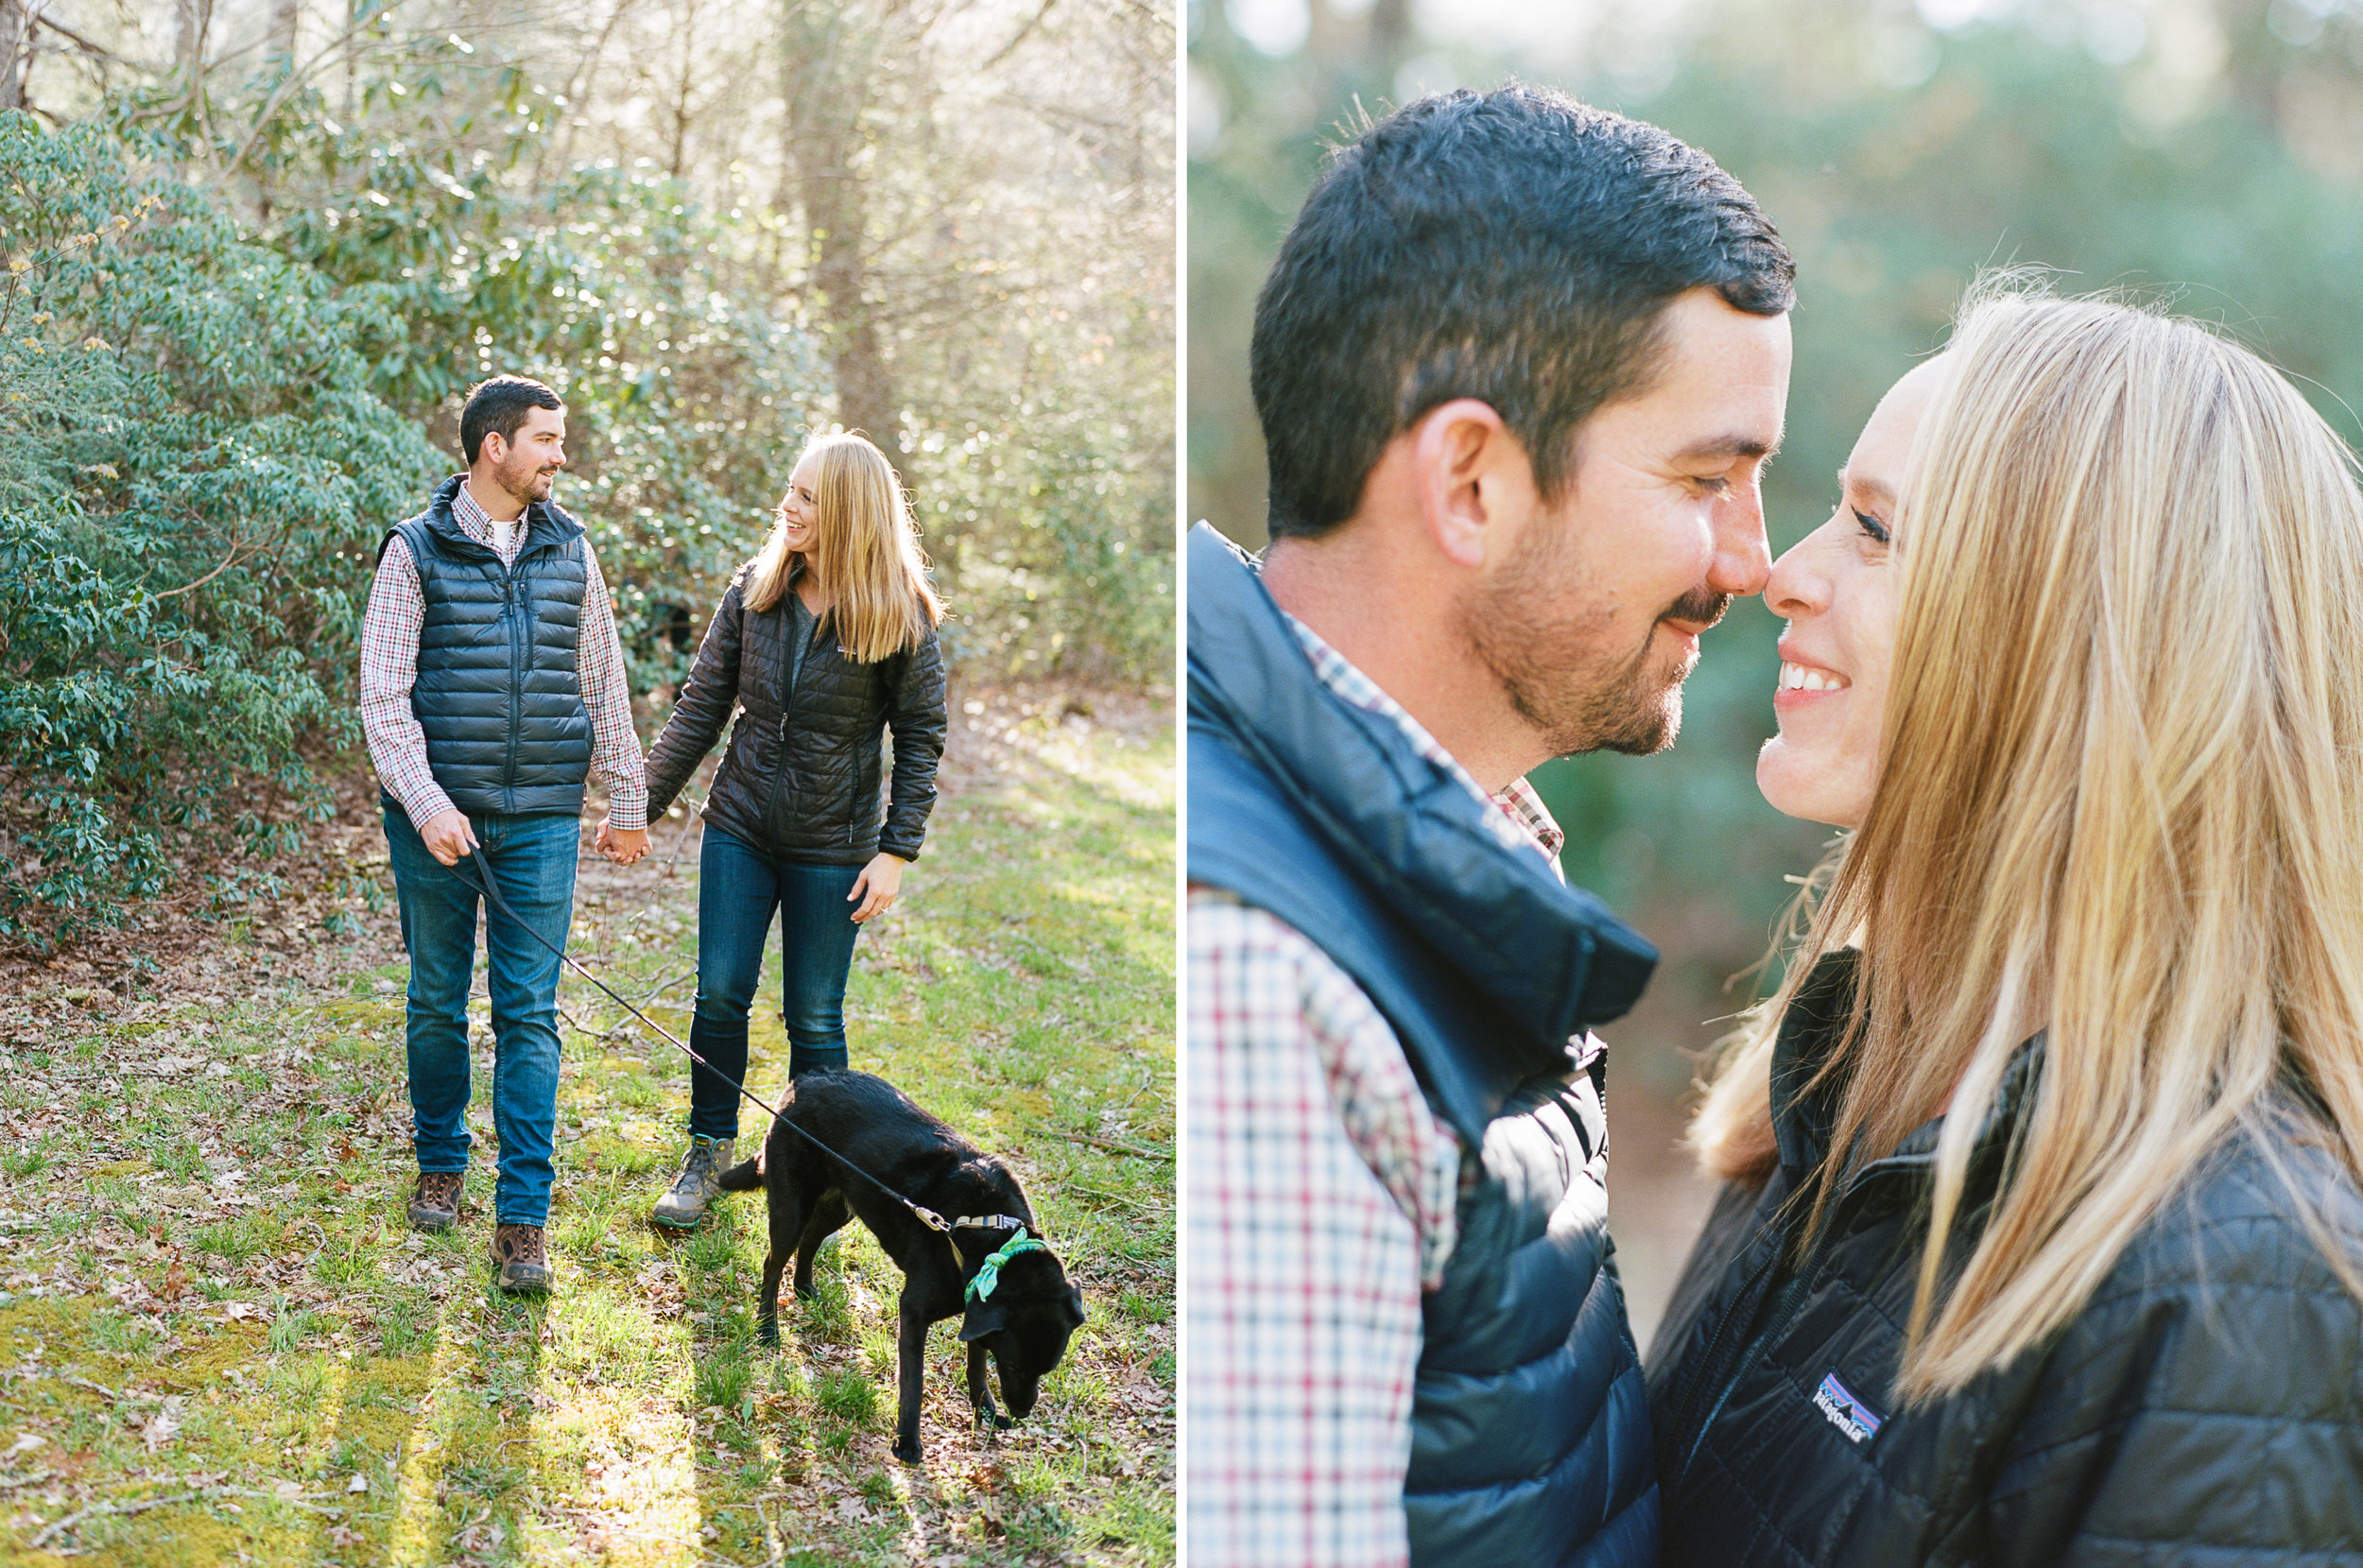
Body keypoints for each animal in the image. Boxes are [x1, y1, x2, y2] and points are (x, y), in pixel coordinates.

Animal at [718, 1072, 1087, 1464]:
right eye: (1017, 1367)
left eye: (1048, 1369)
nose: (1022, 1412)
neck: (994, 1237)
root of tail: (806, 1079)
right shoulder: (913, 1311)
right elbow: (913, 1381)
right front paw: (907, 1441)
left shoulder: (978, 1309)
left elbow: (977, 1368)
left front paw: (985, 1412)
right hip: (791, 1206)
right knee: (772, 1264)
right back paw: (767, 1328)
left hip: (845, 1205)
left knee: (812, 1238)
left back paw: (804, 1288)